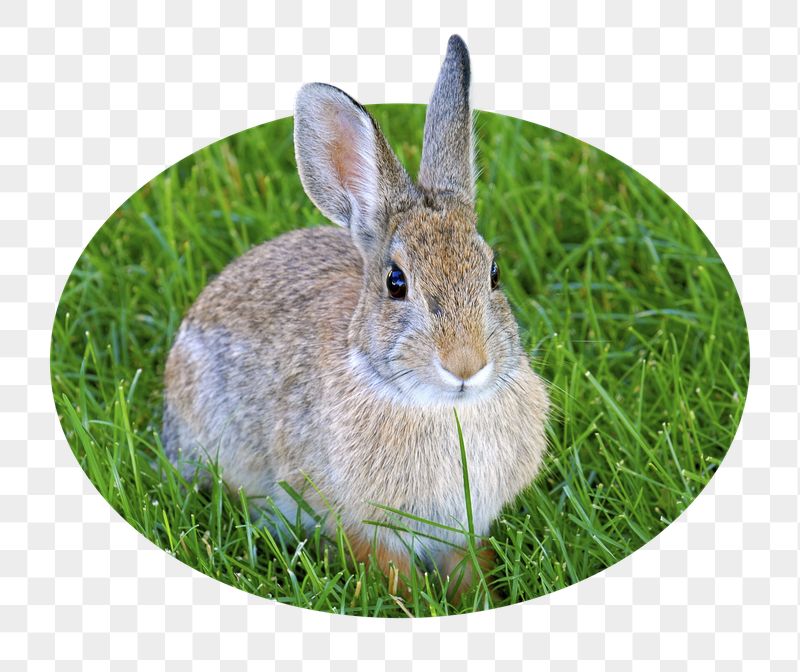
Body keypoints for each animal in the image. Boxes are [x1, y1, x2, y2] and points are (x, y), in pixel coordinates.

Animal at [162, 34, 549, 599]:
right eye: (396, 282)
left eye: (494, 273)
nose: (466, 365)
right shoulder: (360, 520)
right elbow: (389, 570)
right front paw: (413, 605)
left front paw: (481, 598)